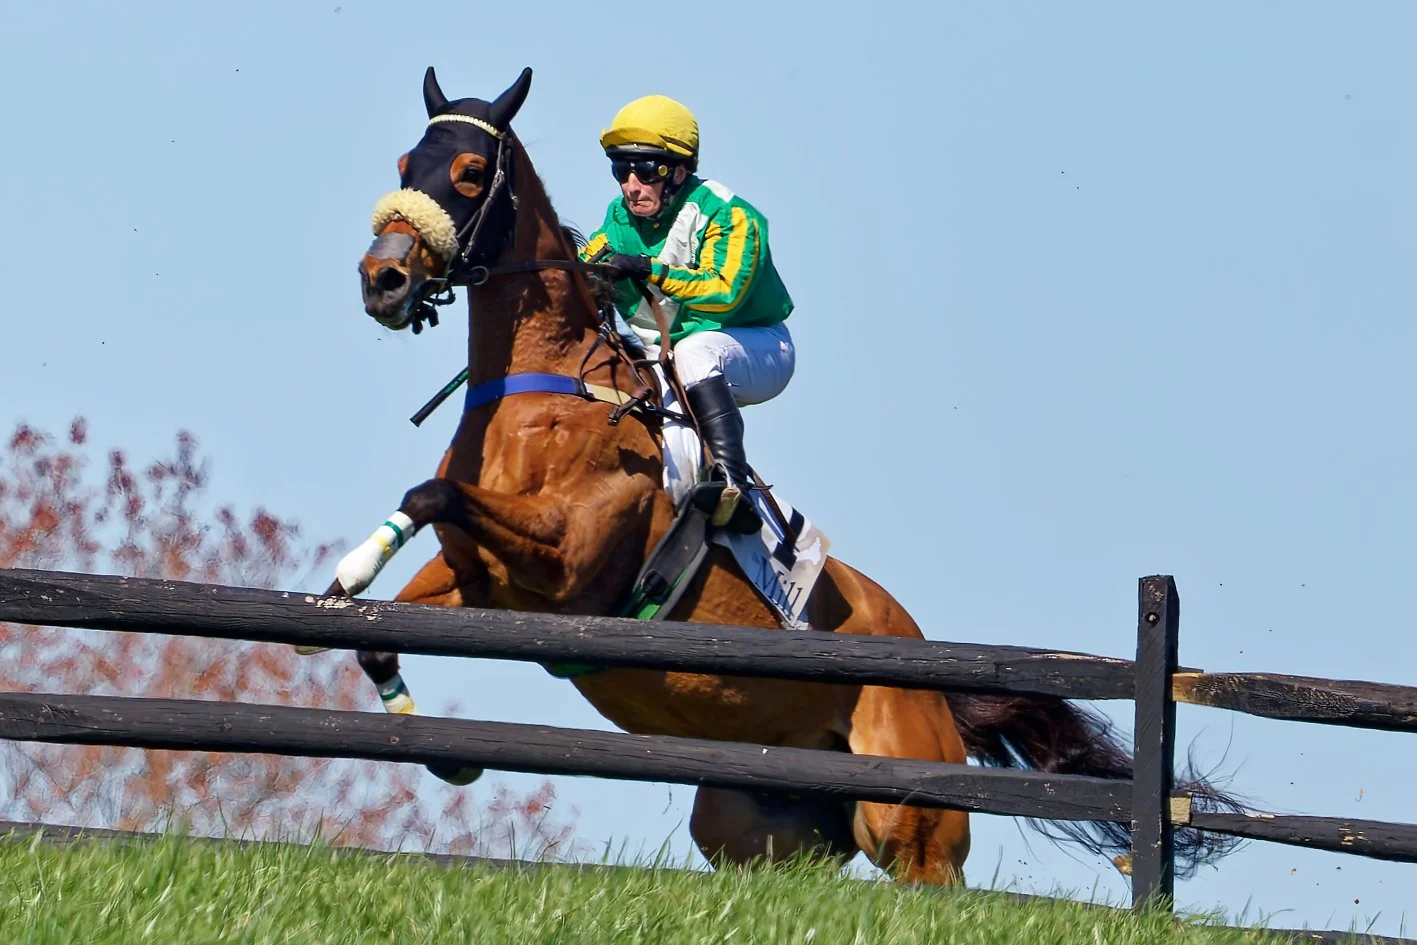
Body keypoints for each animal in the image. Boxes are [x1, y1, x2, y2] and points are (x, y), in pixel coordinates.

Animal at [328, 65, 1241, 884]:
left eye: (468, 171)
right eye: (406, 164)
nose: (383, 279)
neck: (545, 385)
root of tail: (932, 677)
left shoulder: (569, 567)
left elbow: (435, 493)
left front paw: (354, 568)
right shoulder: (483, 581)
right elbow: (392, 599)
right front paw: (385, 659)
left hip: (907, 824)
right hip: (754, 822)